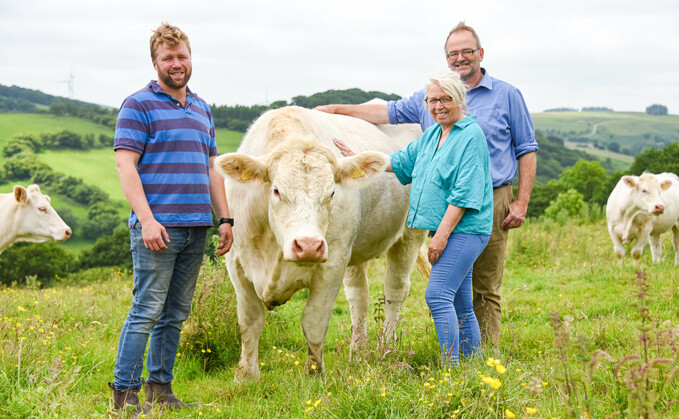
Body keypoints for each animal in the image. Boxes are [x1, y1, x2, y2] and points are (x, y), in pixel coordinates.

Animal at [215, 106, 428, 384]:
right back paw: (358, 352)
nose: (308, 245)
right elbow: (250, 321)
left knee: (395, 290)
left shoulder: (333, 263)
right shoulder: (237, 263)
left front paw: (314, 373)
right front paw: (246, 377)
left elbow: (314, 320)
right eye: (276, 190)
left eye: (332, 193)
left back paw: (387, 348)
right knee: (359, 295)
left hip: (409, 235)